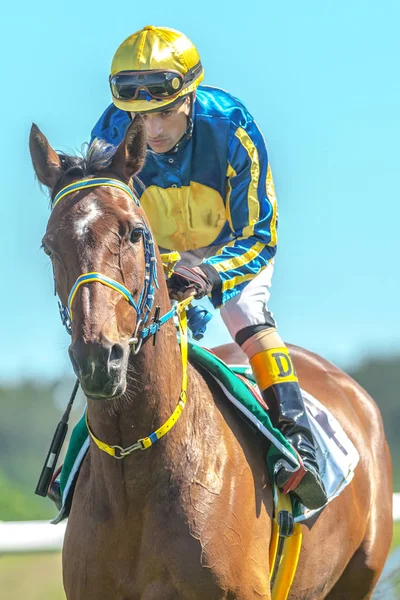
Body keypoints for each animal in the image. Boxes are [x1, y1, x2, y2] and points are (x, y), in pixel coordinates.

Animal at [29, 117, 392, 600]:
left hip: (359, 577)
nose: (99, 358)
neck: (136, 468)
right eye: (49, 246)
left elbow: (257, 232)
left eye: (134, 232)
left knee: (252, 320)